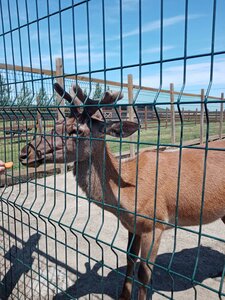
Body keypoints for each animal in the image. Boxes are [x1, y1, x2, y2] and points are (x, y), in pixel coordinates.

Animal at [18, 82, 225, 300]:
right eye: (55, 124)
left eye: (76, 130)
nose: (25, 152)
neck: (128, 194)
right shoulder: (132, 226)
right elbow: (129, 259)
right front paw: (123, 295)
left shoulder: (155, 223)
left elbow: (144, 272)